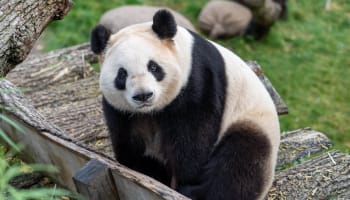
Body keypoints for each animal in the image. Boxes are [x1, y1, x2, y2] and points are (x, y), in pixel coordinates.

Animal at [90, 9, 278, 198]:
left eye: (153, 67)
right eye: (122, 74)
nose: (143, 95)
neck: (152, 111)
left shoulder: (197, 80)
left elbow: (193, 135)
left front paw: (184, 178)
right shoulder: (121, 110)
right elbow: (129, 140)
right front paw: (148, 170)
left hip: (251, 121)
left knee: (240, 161)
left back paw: (196, 192)